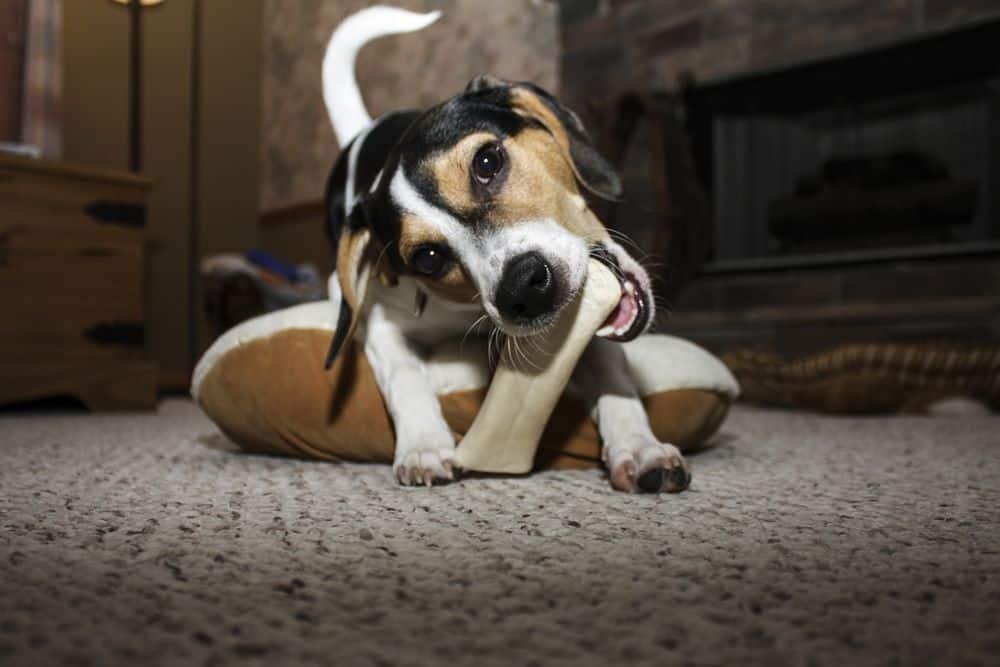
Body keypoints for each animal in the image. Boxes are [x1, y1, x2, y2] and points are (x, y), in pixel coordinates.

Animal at [320, 5, 688, 496]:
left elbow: (613, 378)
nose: (525, 290)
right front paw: (423, 446)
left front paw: (640, 446)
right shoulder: (383, 324)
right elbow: (406, 377)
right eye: (427, 258)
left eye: (487, 162)